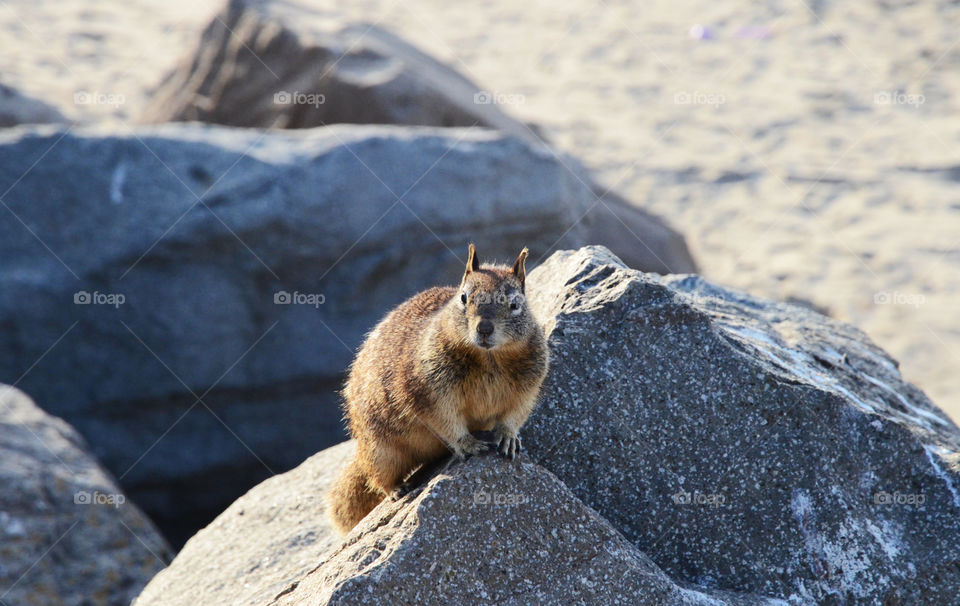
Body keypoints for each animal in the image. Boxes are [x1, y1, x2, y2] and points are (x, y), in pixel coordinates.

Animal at [328, 245, 548, 536]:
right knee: (377, 476)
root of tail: (361, 451)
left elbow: (515, 414)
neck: (489, 358)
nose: (484, 328)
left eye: (514, 304)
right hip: (379, 448)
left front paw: (508, 438)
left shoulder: (529, 385)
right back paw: (397, 489)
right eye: (464, 297)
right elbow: (445, 420)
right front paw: (468, 444)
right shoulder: (426, 389)